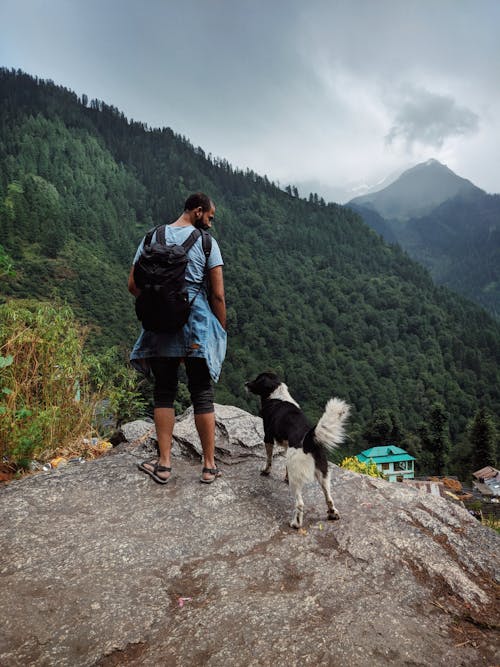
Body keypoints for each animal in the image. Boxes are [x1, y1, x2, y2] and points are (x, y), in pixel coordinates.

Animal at [245, 374, 348, 528]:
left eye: (257, 380)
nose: (245, 383)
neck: (278, 395)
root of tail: (309, 441)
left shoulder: (267, 437)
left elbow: (269, 458)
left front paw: (266, 471)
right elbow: (285, 466)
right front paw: (284, 476)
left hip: (297, 480)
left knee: (300, 504)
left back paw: (296, 523)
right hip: (323, 472)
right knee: (329, 497)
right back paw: (332, 514)